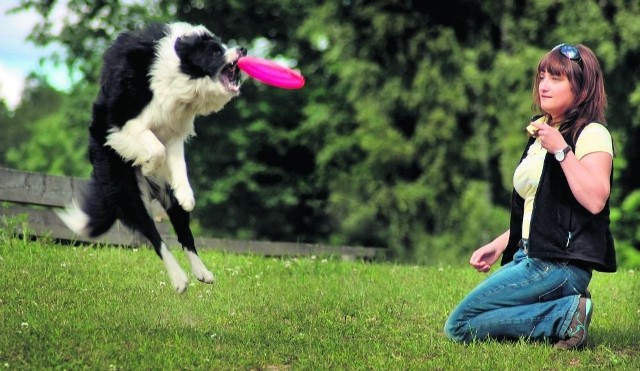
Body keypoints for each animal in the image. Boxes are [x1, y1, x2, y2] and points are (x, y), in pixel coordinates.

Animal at [56, 22, 246, 294]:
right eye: (214, 51)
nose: (243, 49)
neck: (177, 73)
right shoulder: (123, 123)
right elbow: (156, 148)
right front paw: (147, 165)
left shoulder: (174, 132)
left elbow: (178, 164)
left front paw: (186, 195)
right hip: (125, 190)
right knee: (152, 234)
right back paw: (179, 279)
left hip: (163, 198)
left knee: (184, 234)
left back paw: (202, 272)